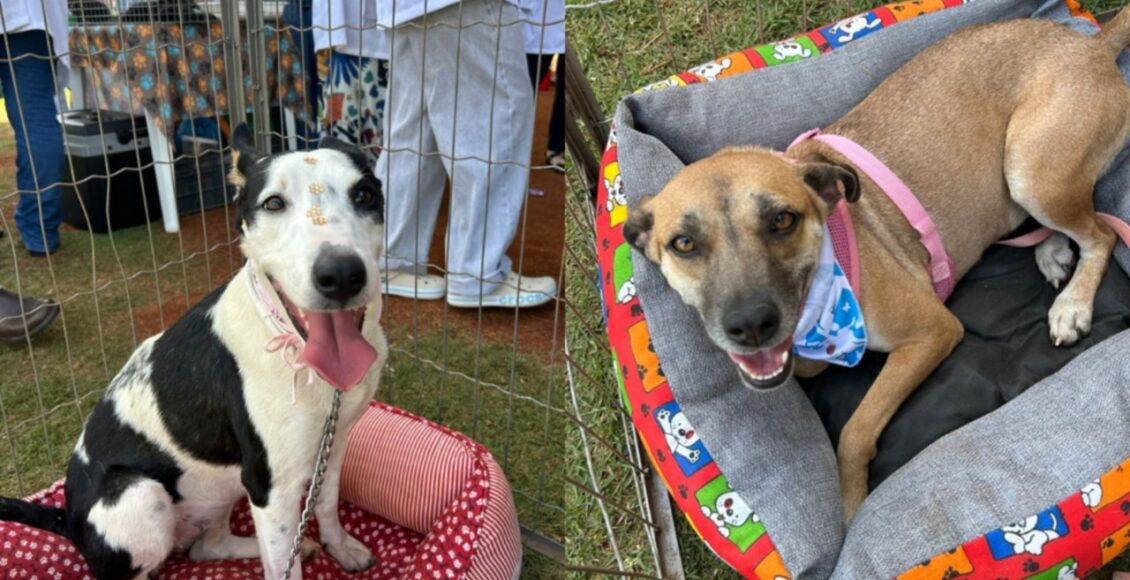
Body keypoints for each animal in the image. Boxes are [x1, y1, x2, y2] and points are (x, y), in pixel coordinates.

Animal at [0, 124, 389, 579]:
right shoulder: (271, 487)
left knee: (206, 547)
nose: (341, 275)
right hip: (140, 495)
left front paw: (340, 549)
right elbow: (284, 566)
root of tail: (67, 518)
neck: (295, 351)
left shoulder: (334, 442)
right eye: (273, 203)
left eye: (365, 194)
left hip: (218, 493)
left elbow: (327, 505)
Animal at [624, 9, 1130, 519]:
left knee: (1101, 234)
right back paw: (1052, 251)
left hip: (1030, 170)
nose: (750, 326)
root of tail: (1091, 46)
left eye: (783, 220)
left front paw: (851, 504)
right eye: (684, 243)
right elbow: (811, 369)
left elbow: (855, 430)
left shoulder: (932, 331)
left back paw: (1073, 304)